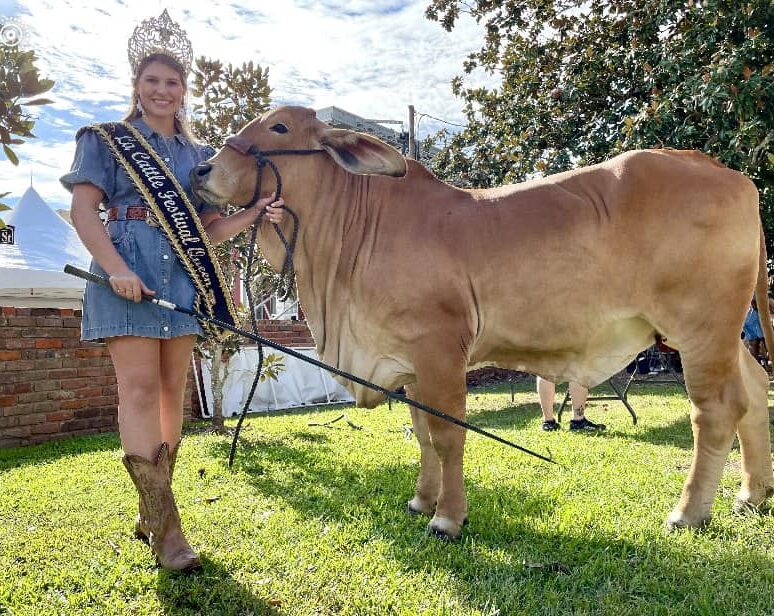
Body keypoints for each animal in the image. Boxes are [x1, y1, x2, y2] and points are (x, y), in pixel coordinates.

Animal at [192, 105, 774, 540]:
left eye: (279, 127)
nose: (201, 171)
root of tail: (728, 172)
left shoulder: (440, 351)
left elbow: (448, 435)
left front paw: (447, 518)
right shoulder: (410, 365)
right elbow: (422, 434)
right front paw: (421, 501)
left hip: (700, 328)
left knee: (716, 411)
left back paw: (689, 513)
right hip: (722, 334)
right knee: (754, 392)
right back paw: (750, 495)